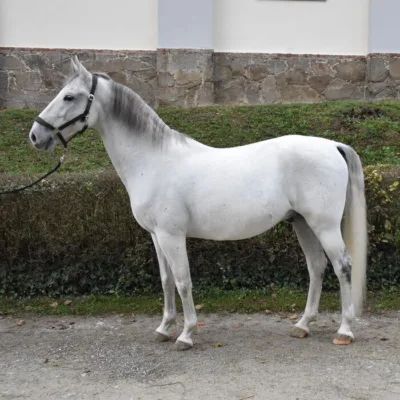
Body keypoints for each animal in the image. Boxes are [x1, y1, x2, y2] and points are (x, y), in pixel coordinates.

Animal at [28, 57, 368, 350]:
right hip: (302, 223)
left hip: (324, 226)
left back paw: (345, 330)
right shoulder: (156, 236)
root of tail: (333, 146)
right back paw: (303, 325)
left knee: (343, 266)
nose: (35, 135)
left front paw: (187, 334)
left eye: (69, 97)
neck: (153, 161)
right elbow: (166, 281)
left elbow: (183, 281)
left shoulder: (172, 236)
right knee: (316, 267)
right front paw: (164, 328)